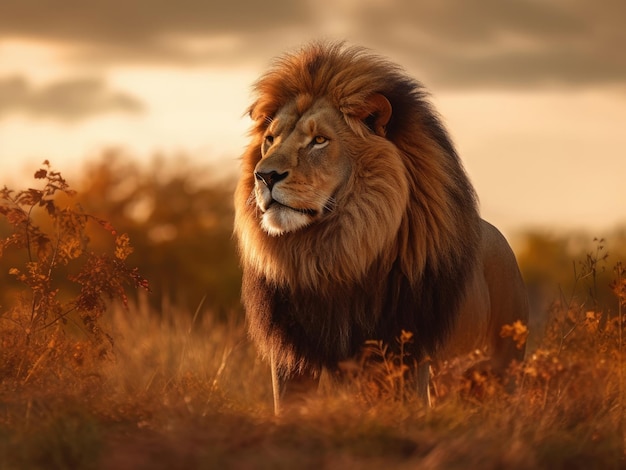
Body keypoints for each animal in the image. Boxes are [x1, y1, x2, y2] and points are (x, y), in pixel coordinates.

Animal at [234, 42, 528, 414]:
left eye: (319, 140)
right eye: (270, 139)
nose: (264, 176)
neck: (330, 253)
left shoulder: (410, 353)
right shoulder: (290, 357)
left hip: (502, 369)